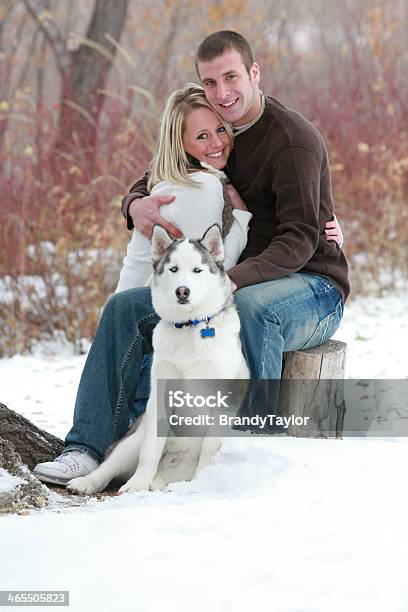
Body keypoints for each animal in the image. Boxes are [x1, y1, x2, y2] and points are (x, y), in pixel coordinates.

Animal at [67, 225, 249, 498]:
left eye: (197, 270)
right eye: (173, 269)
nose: (182, 291)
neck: (189, 327)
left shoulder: (223, 398)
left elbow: (209, 447)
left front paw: (204, 481)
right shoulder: (160, 395)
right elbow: (149, 450)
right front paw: (137, 485)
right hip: (133, 440)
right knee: (112, 465)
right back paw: (89, 481)